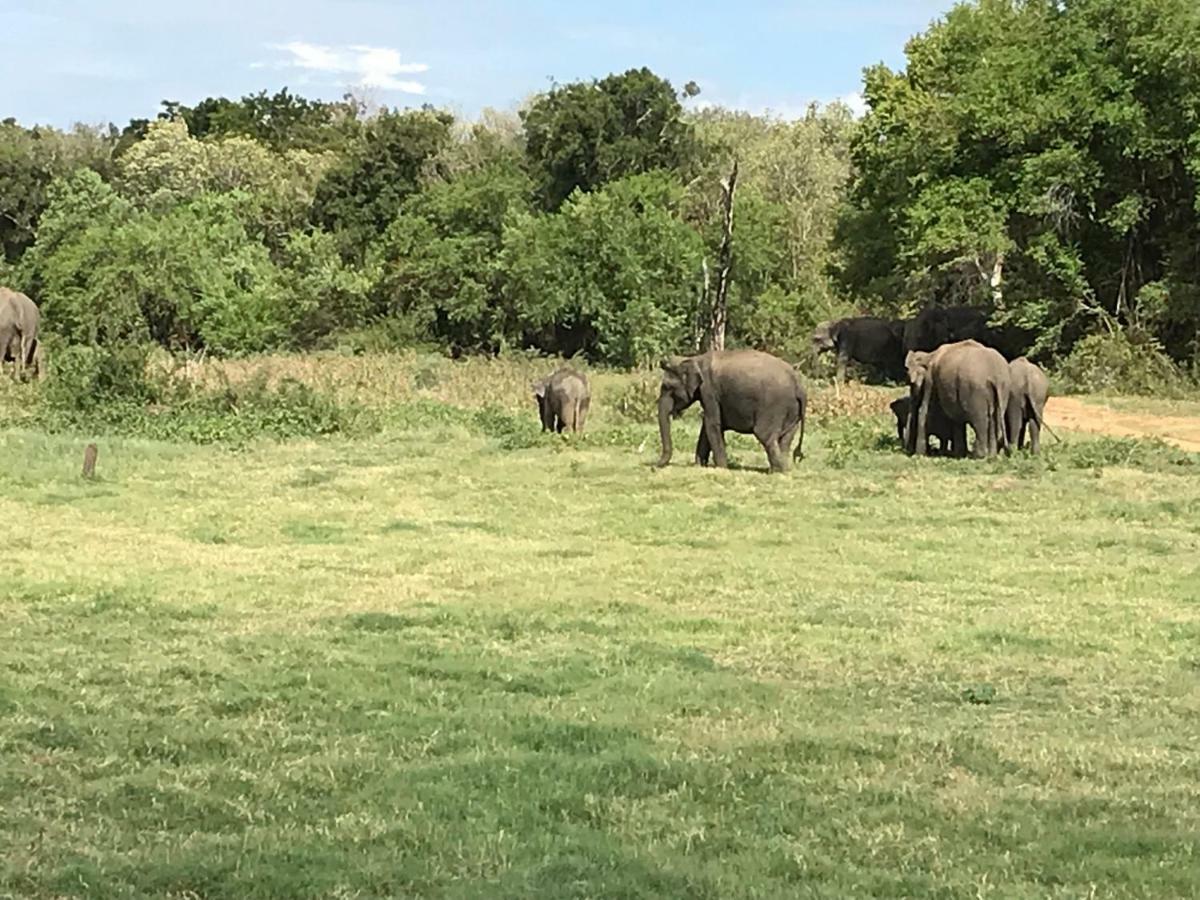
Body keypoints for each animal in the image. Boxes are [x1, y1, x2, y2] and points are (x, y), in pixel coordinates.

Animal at [657, 350, 806, 475]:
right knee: (786, 439)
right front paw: (700, 466)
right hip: (793, 412)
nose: (655, 466)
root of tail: (798, 385)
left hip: (773, 407)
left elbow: (712, 425)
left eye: (668, 387)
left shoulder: (709, 392)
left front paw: (722, 469)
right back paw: (783, 470)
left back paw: (777, 471)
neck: (694, 358)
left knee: (766, 436)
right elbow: (706, 427)